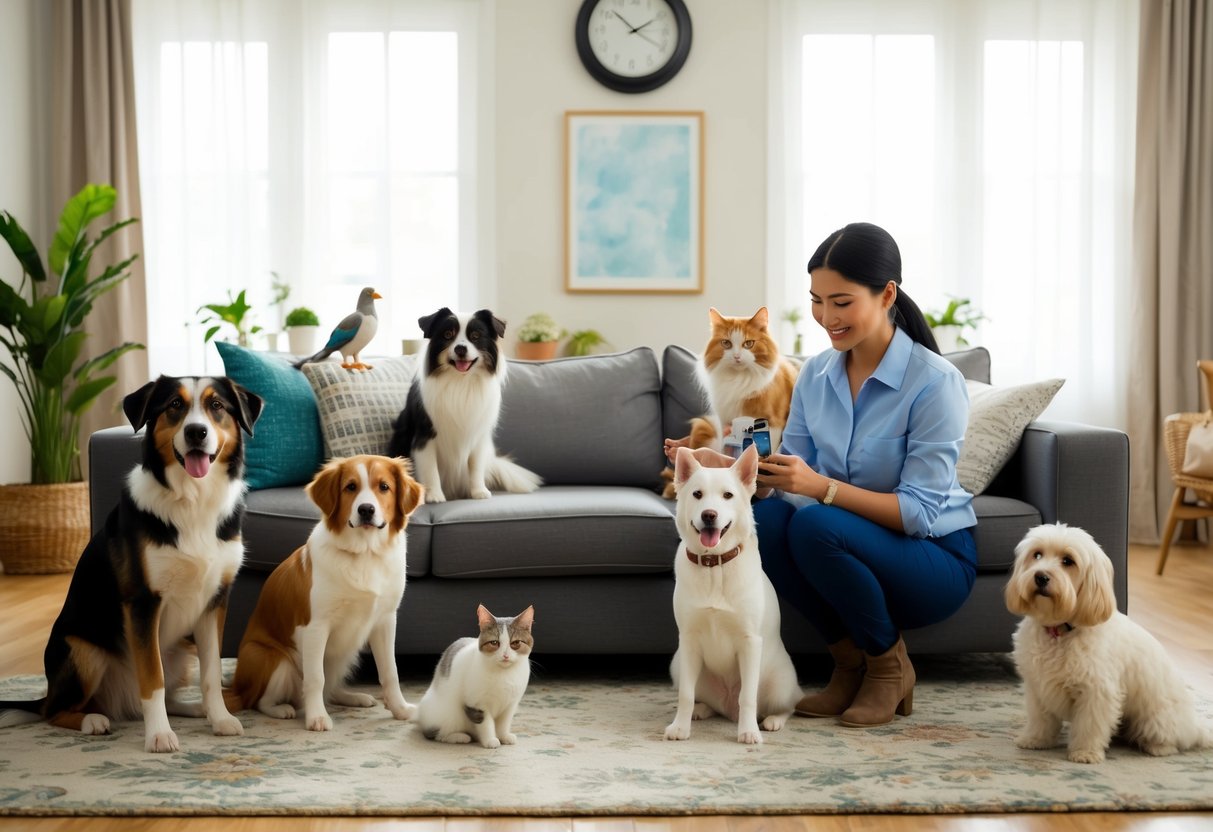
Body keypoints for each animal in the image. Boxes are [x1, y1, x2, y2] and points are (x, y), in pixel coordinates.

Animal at [0, 378, 263, 756]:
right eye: (174, 405)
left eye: (217, 406)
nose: (196, 432)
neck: (192, 500)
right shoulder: (142, 601)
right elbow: (152, 678)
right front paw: (160, 736)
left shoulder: (215, 602)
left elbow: (211, 673)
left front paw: (220, 718)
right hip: (84, 652)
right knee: (55, 710)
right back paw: (93, 721)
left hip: (182, 650)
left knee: (167, 694)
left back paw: (193, 708)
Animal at [225, 453, 424, 732]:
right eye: (350, 487)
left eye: (384, 487)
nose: (366, 509)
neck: (364, 553)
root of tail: (236, 687)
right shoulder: (316, 626)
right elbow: (315, 678)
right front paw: (317, 717)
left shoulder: (385, 621)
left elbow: (390, 672)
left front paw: (400, 709)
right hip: (272, 658)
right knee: (260, 700)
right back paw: (282, 709)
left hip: (346, 653)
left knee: (331, 688)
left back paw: (353, 697)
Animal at [414, 606, 533, 751]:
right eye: (494, 643)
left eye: (515, 643)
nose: (505, 655)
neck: (504, 674)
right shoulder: (477, 704)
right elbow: (486, 723)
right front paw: (490, 740)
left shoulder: (510, 704)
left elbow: (504, 723)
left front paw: (504, 736)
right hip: (447, 713)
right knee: (436, 734)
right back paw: (460, 737)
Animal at [659, 310, 800, 494]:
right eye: (726, 343)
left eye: (749, 343)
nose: (737, 357)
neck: (739, 379)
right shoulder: (723, 421)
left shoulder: (773, 422)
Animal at [1004, 523, 1213, 766]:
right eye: (1037, 555)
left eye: (1068, 561)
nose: (1040, 576)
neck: (1060, 631)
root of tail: (1196, 725)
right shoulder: (1038, 687)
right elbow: (1041, 719)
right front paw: (1035, 740)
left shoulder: (1096, 692)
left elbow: (1089, 726)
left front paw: (1084, 752)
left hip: (1155, 720)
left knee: (1172, 741)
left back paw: (1155, 747)